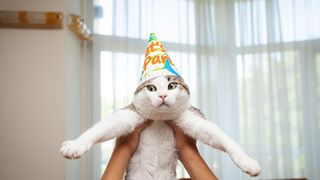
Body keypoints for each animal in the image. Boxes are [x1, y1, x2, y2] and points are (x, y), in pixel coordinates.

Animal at [60, 74, 262, 179]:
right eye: (151, 88)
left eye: (171, 86)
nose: (163, 96)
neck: (159, 120)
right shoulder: (131, 115)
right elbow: (101, 128)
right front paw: (75, 146)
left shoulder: (190, 118)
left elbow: (220, 136)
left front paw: (248, 162)